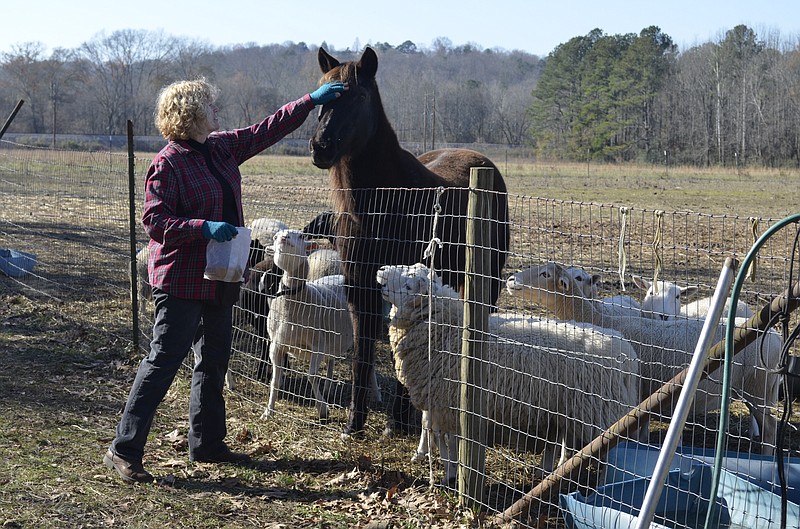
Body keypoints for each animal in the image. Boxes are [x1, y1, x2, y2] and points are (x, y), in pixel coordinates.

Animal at [260, 228, 378, 420]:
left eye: (301, 236)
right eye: (276, 237)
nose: (284, 238)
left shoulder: (318, 344)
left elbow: (312, 376)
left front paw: (322, 409)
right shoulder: (276, 345)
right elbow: (275, 381)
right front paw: (268, 411)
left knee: (370, 362)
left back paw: (376, 393)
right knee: (332, 360)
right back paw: (329, 387)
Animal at [310, 46, 510, 434]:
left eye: (359, 95)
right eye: (321, 97)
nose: (320, 147)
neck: (384, 205)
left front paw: (397, 420)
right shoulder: (359, 287)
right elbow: (363, 353)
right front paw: (355, 422)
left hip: (486, 279)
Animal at [378, 262, 640, 480]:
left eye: (408, 285)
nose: (380, 273)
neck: (448, 331)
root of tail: (626, 355)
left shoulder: (449, 402)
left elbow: (448, 443)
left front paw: (450, 475)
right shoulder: (440, 402)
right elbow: (441, 439)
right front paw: (448, 470)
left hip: (600, 412)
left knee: (610, 453)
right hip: (566, 409)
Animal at [506, 262, 780, 452]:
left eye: (545, 274)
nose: (510, 279)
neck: (601, 318)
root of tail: (774, 334)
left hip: (758, 388)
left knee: (770, 428)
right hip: (757, 390)